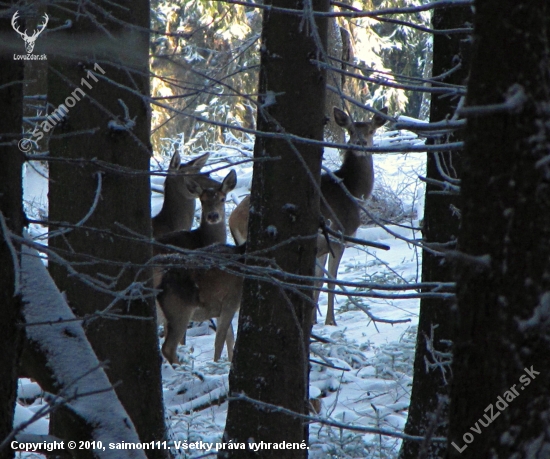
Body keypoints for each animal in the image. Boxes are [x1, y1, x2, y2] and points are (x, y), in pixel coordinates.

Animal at [229, 106, 388, 326]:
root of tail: (232, 219)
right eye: (350, 131)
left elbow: (318, 280)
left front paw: (313, 319)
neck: (352, 191)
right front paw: (330, 321)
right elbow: (330, 280)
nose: (360, 143)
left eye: (371, 130)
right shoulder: (339, 235)